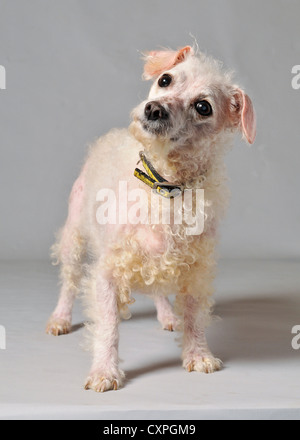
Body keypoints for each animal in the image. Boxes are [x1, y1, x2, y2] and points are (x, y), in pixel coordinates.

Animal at [46, 46, 255, 392]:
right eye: (165, 79)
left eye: (203, 107)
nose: (154, 109)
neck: (164, 186)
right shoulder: (107, 272)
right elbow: (108, 326)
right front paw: (104, 371)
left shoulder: (196, 270)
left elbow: (195, 317)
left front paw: (198, 354)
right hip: (74, 239)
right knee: (69, 281)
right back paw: (60, 317)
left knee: (158, 289)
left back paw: (168, 316)